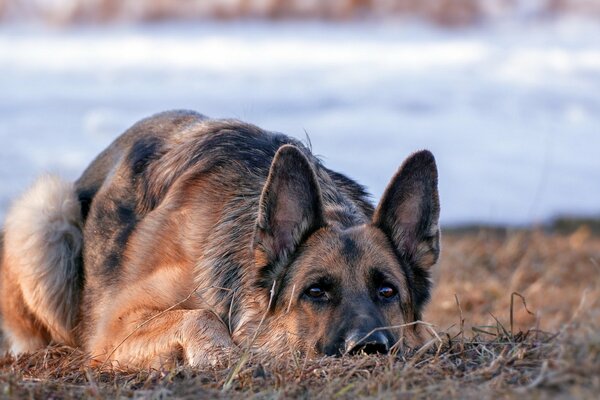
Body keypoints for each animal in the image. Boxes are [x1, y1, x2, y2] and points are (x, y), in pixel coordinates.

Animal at [0, 111, 440, 368]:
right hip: (47, 211)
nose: (369, 348)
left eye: (387, 291)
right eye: (315, 292)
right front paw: (222, 356)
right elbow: (199, 315)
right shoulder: (113, 328)